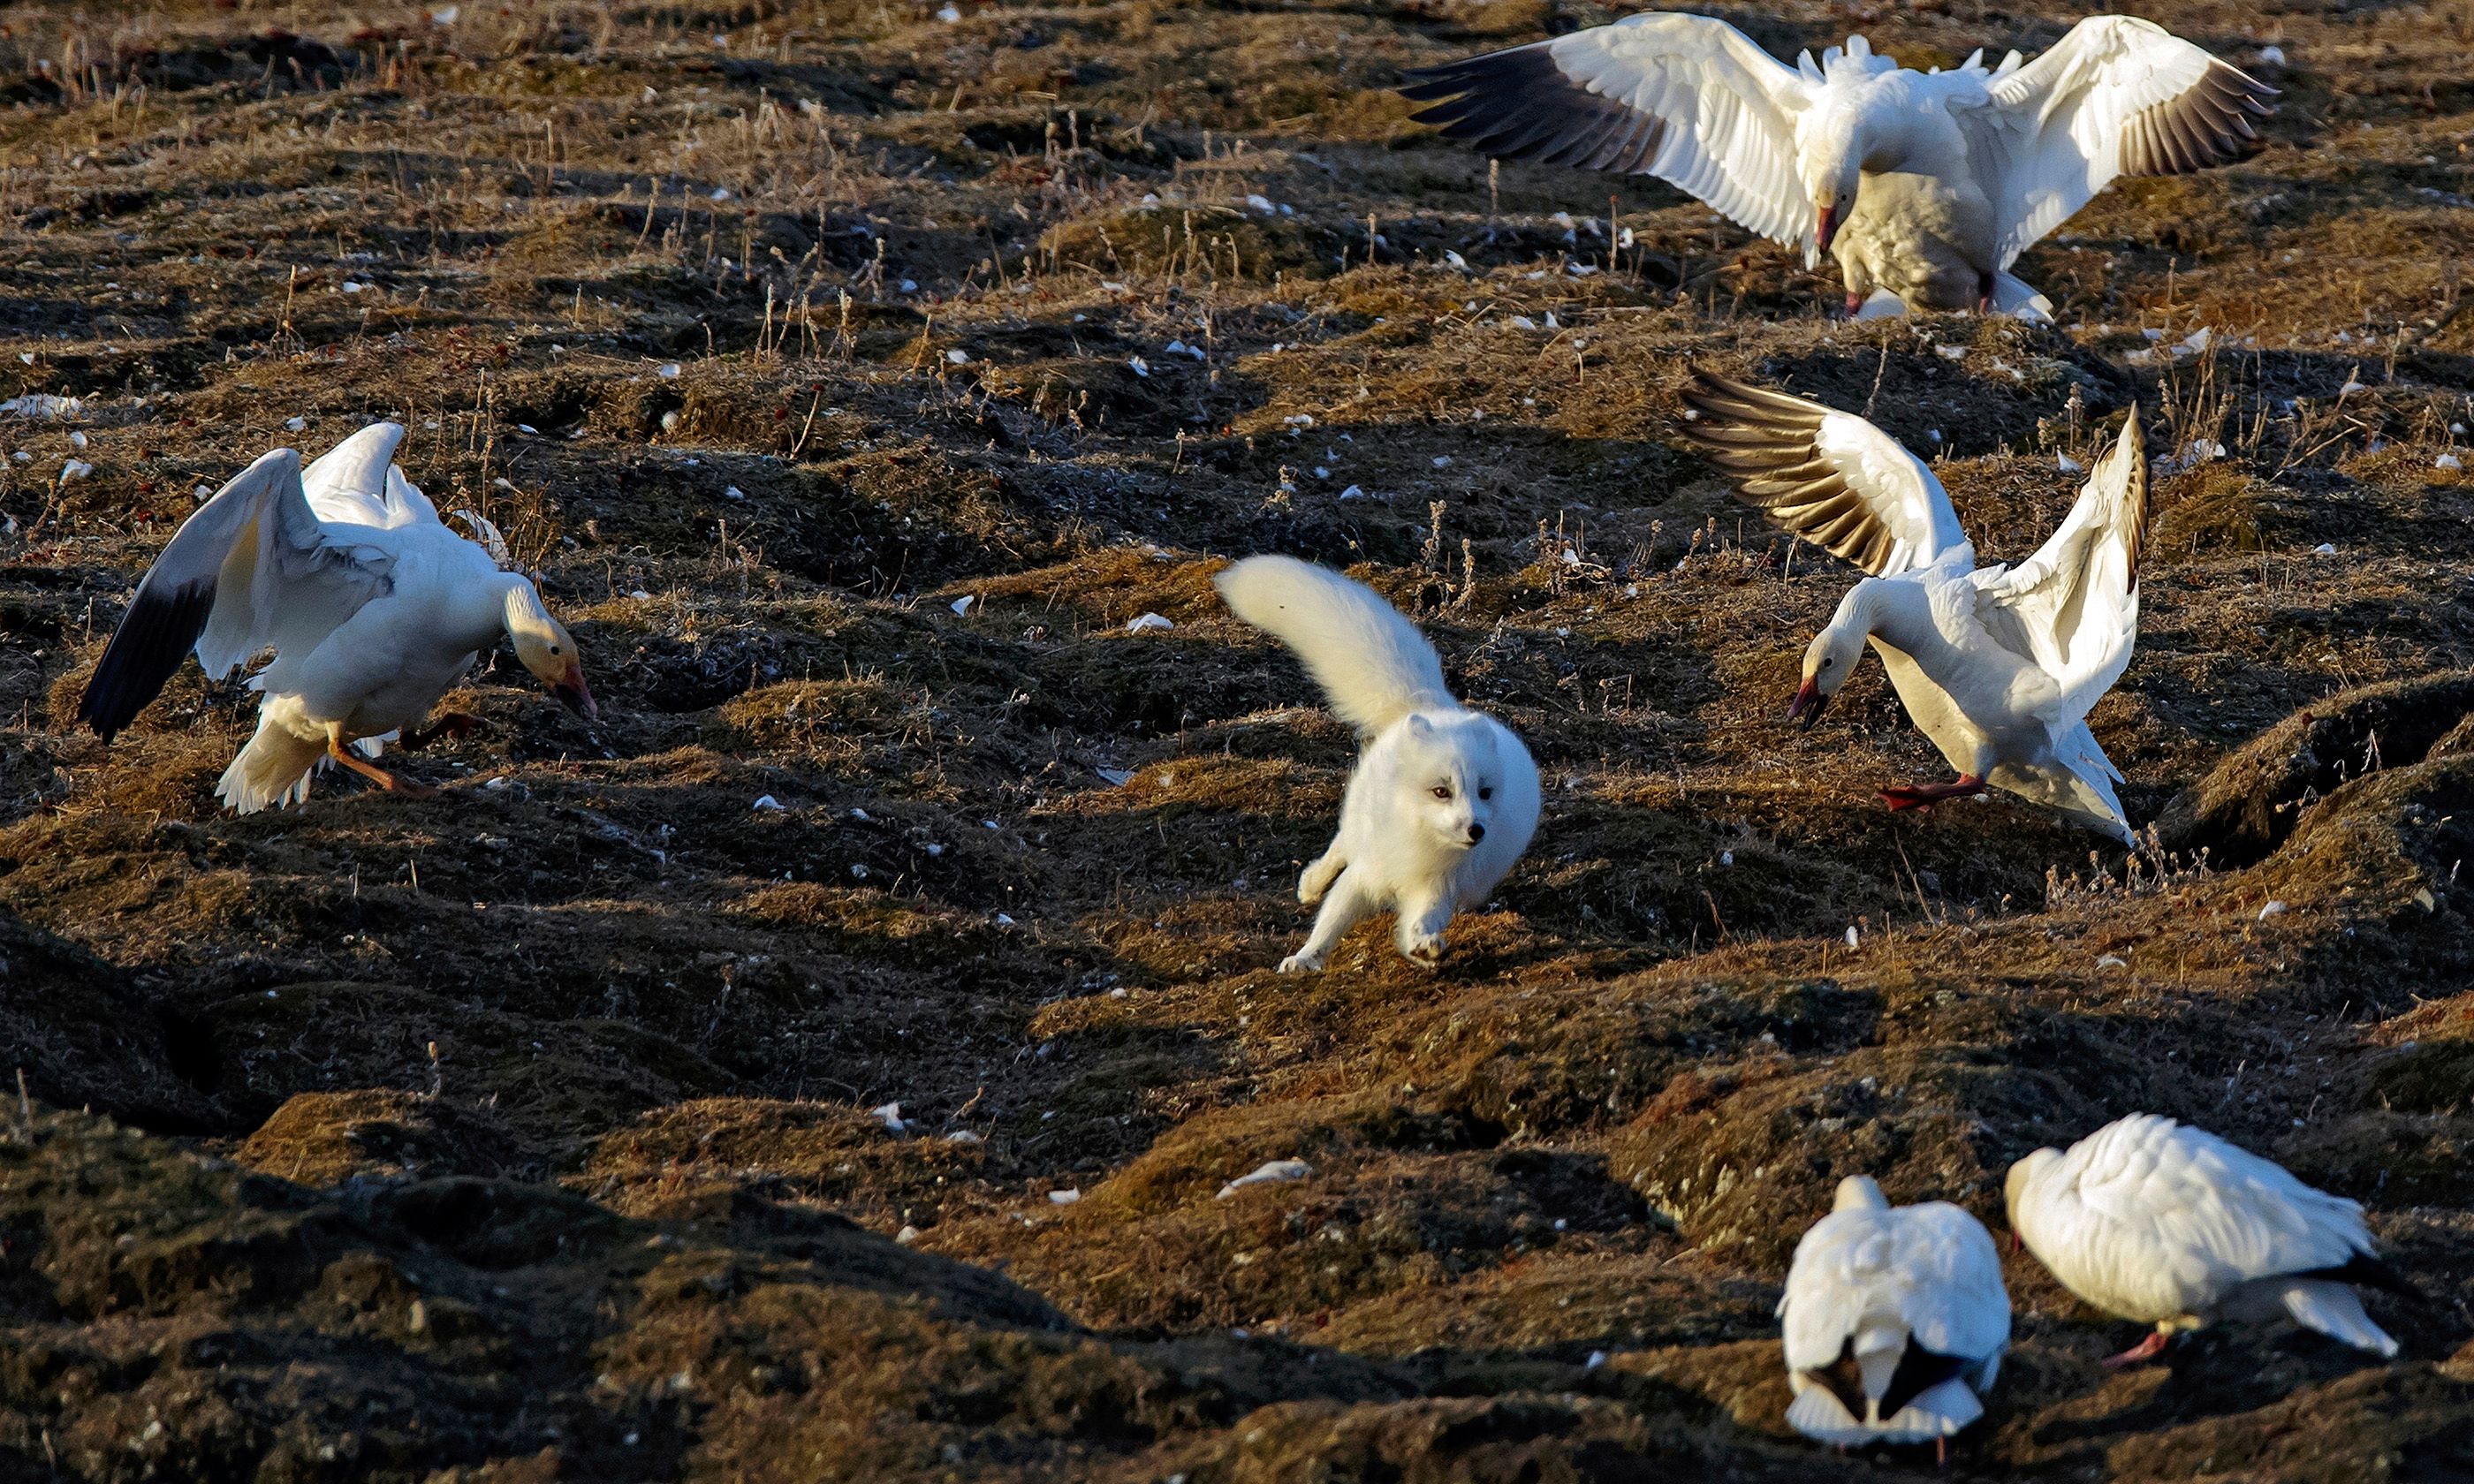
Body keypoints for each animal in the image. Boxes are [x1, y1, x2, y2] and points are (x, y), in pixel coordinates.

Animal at [1214, 555, 1540, 972]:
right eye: (1441, 791)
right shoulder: (1366, 873)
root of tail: (1435, 707)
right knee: (1340, 845)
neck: (1416, 844)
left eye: (1485, 793)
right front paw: (1304, 959)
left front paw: (1423, 947)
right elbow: (1331, 920)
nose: (1476, 830)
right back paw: (1310, 885)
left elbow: (1423, 919)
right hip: (1359, 823)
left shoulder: (1437, 887)